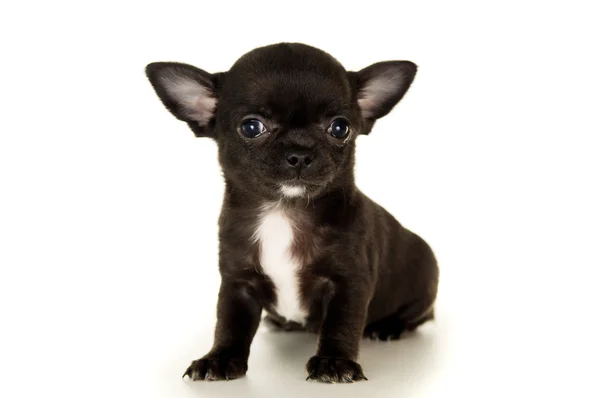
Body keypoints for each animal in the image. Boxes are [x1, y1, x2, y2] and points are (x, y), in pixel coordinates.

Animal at [144, 42, 436, 382]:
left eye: (340, 128)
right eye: (251, 127)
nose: (300, 153)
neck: (282, 211)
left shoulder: (348, 282)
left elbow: (342, 324)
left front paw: (334, 362)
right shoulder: (237, 282)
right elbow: (229, 324)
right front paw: (219, 359)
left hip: (425, 276)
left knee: (418, 315)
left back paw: (388, 326)